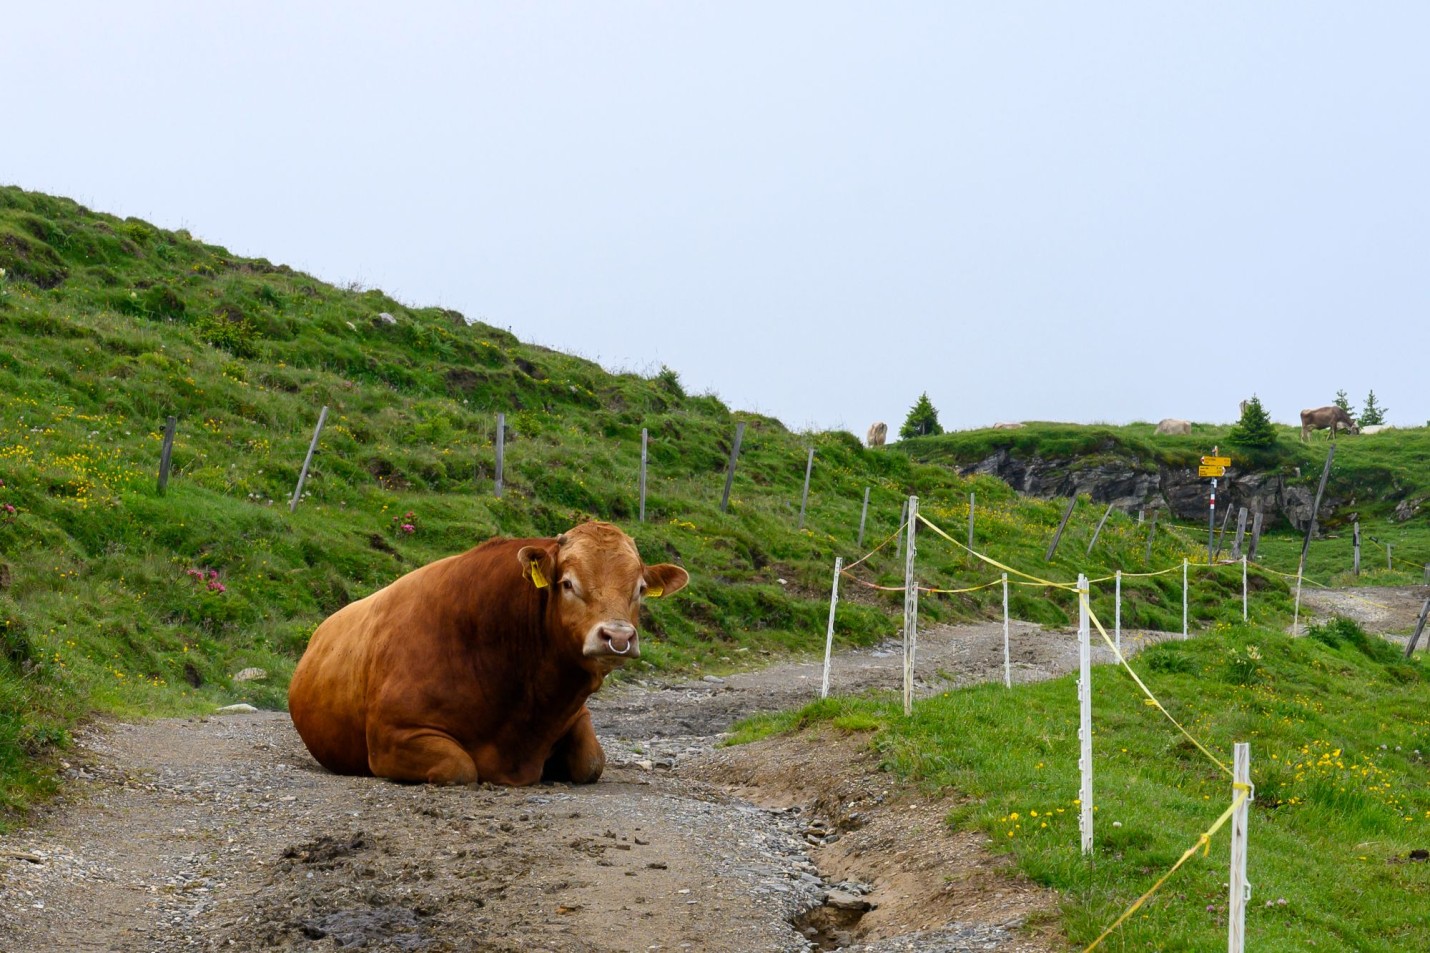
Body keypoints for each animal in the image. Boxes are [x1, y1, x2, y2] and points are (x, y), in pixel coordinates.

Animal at [287, 523, 689, 784]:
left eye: (640, 588)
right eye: (567, 583)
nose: (617, 637)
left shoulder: (576, 715)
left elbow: (592, 762)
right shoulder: (392, 734)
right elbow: (460, 767)